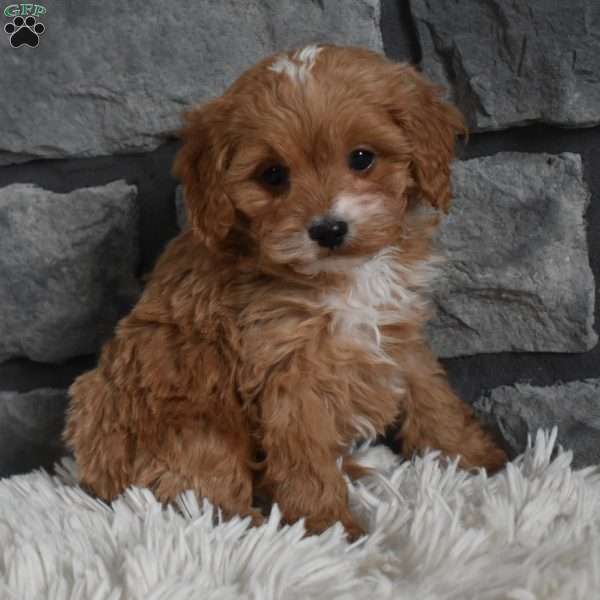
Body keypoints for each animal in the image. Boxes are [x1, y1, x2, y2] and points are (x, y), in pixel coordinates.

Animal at [64, 45, 506, 540]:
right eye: (273, 175)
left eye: (362, 158)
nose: (328, 229)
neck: (341, 277)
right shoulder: (289, 371)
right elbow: (304, 454)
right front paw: (329, 527)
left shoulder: (397, 332)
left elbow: (432, 397)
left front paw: (476, 460)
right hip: (191, 418)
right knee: (196, 489)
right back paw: (248, 522)